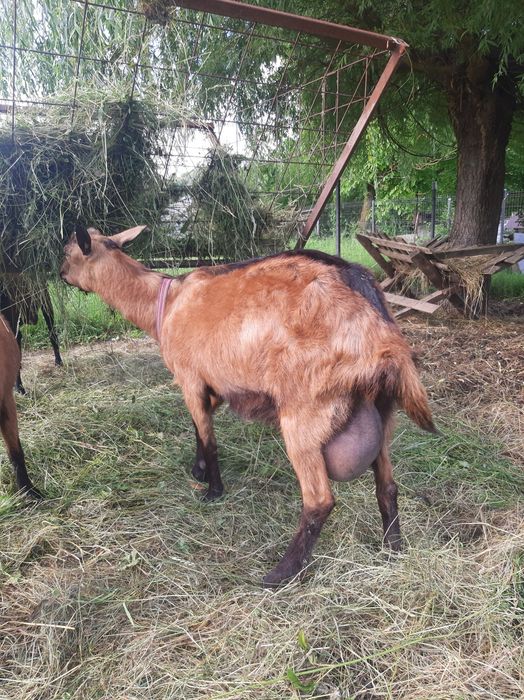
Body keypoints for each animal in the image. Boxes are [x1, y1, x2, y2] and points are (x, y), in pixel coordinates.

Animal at [60, 223, 436, 586]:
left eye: (67, 252)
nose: (61, 274)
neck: (165, 303)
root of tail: (383, 335)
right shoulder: (210, 384)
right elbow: (199, 428)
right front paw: (198, 470)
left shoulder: (190, 377)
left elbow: (207, 437)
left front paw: (212, 490)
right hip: (382, 411)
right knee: (387, 486)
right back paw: (393, 548)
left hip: (305, 412)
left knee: (319, 500)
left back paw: (281, 573)